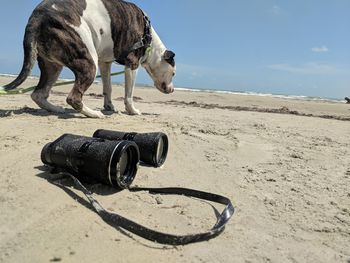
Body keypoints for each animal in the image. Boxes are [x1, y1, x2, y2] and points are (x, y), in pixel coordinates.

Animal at [0, 0, 175, 117]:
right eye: (173, 73)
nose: (172, 90)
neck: (149, 38)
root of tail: (37, 18)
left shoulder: (105, 63)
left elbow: (108, 88)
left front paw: (109, 106)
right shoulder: (132, 64)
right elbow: (129, 94)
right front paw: (132, 110)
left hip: (53, 66)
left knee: (38, 94)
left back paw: (56, 109)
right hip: (88, 62)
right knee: (73, 98)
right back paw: (93, 114)